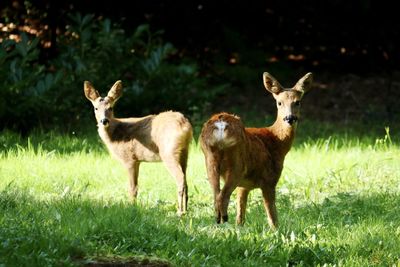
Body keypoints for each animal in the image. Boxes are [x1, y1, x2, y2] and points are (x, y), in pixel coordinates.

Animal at [83, 79, 193, 216]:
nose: (104, 121)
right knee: (186, 179)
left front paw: (131, 208)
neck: (115, 135)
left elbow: (132, 187)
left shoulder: (129, 159)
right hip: (185, 152)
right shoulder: (138, 160)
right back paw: (185, 209)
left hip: (169, 152)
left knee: (180, 179)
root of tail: (185, 125)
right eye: (96, 108)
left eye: (111, 108)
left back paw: (179, 212)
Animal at [199, 72, 312, 229]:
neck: (276, 140)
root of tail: (220, 123)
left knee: (216, 196)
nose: (289, 118)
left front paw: (240, 228)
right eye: (279, 102)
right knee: (222, 197)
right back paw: (224, 221)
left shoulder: (244, 186)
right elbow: (272, 216)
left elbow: (240, 215)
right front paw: (276, 230)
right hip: (236, 165)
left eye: (297, 102)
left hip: (210, 160)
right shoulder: (269, 179)